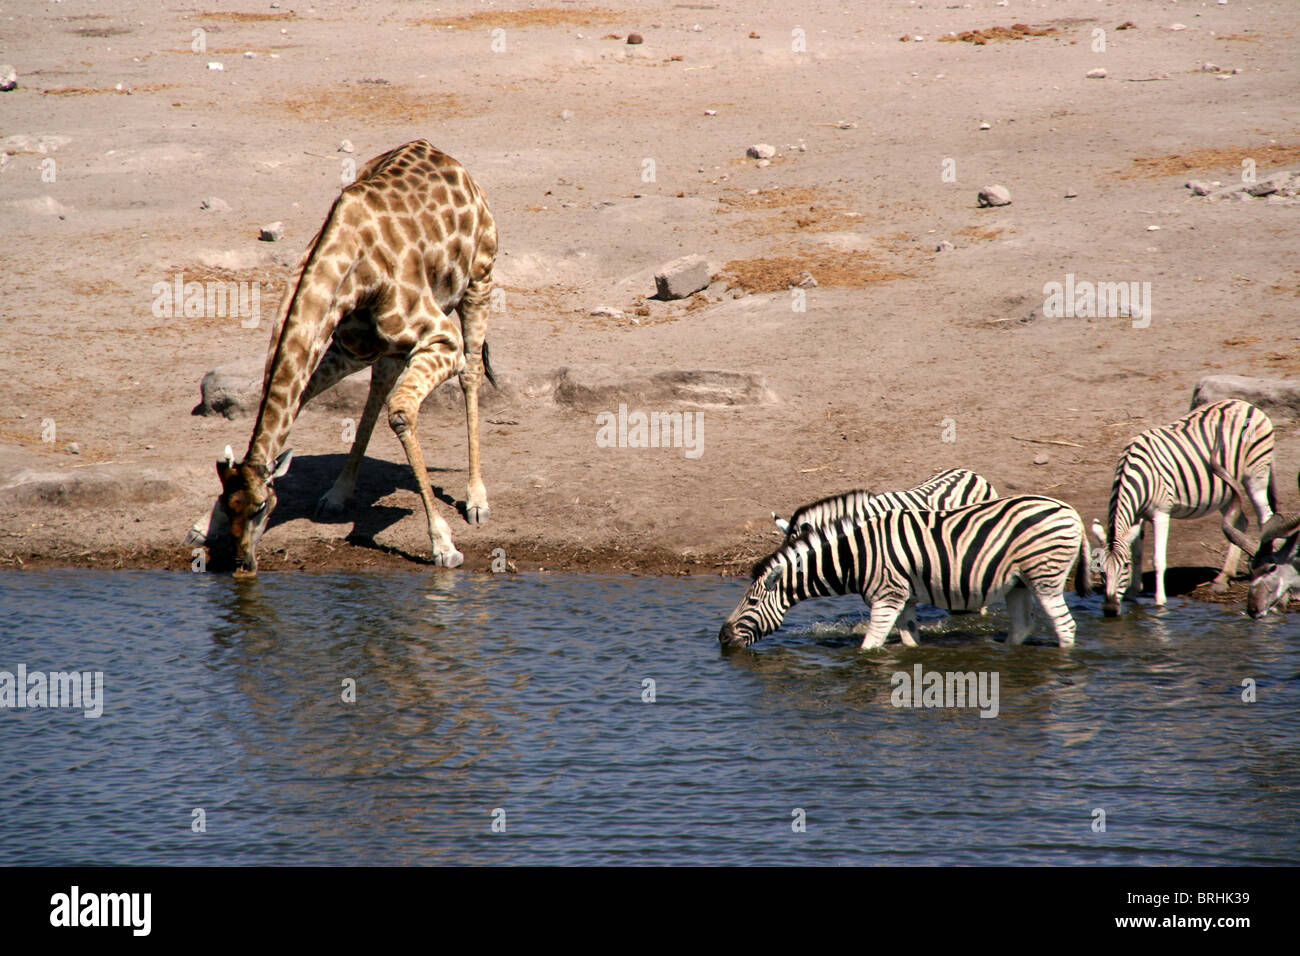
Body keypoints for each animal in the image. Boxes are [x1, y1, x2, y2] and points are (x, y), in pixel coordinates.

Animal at [188, 141, 496, 574]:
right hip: (379, 348)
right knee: (379, 386)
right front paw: (202, 526)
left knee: (471, 372)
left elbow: (402, 413)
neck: (352, 266)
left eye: (262, 507)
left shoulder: (442, 339)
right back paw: (338, 493)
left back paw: (477, 501)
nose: (244, 564)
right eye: (227, 505)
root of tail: (450, 161)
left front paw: (443, 545)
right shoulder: (347, 346)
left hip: (480, 280)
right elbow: (302, 399)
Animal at [717, 494, 1092, 650]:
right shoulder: (906, 598)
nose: (721, 638)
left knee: (1066, 626)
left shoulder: (887, 597)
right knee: (1022, 626)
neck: (856, 555)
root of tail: (1070, 509)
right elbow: (910, 639)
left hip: (1045, 578)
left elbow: (869, 646)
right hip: (1018, 583)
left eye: (751, 602)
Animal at [1086, 400, 1279, 616]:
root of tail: (1245, 404)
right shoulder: (1137, 515)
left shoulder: (1161, 513)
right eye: (1100, 567)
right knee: (1240, 522)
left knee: (1265, 516)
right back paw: (1223, 578)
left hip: (1256, 475)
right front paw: (1132, 594)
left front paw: (1159, 602)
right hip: (1224, 489)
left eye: (1124, 567)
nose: (1110, 609)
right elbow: (1137, 553)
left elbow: (1157, 559)